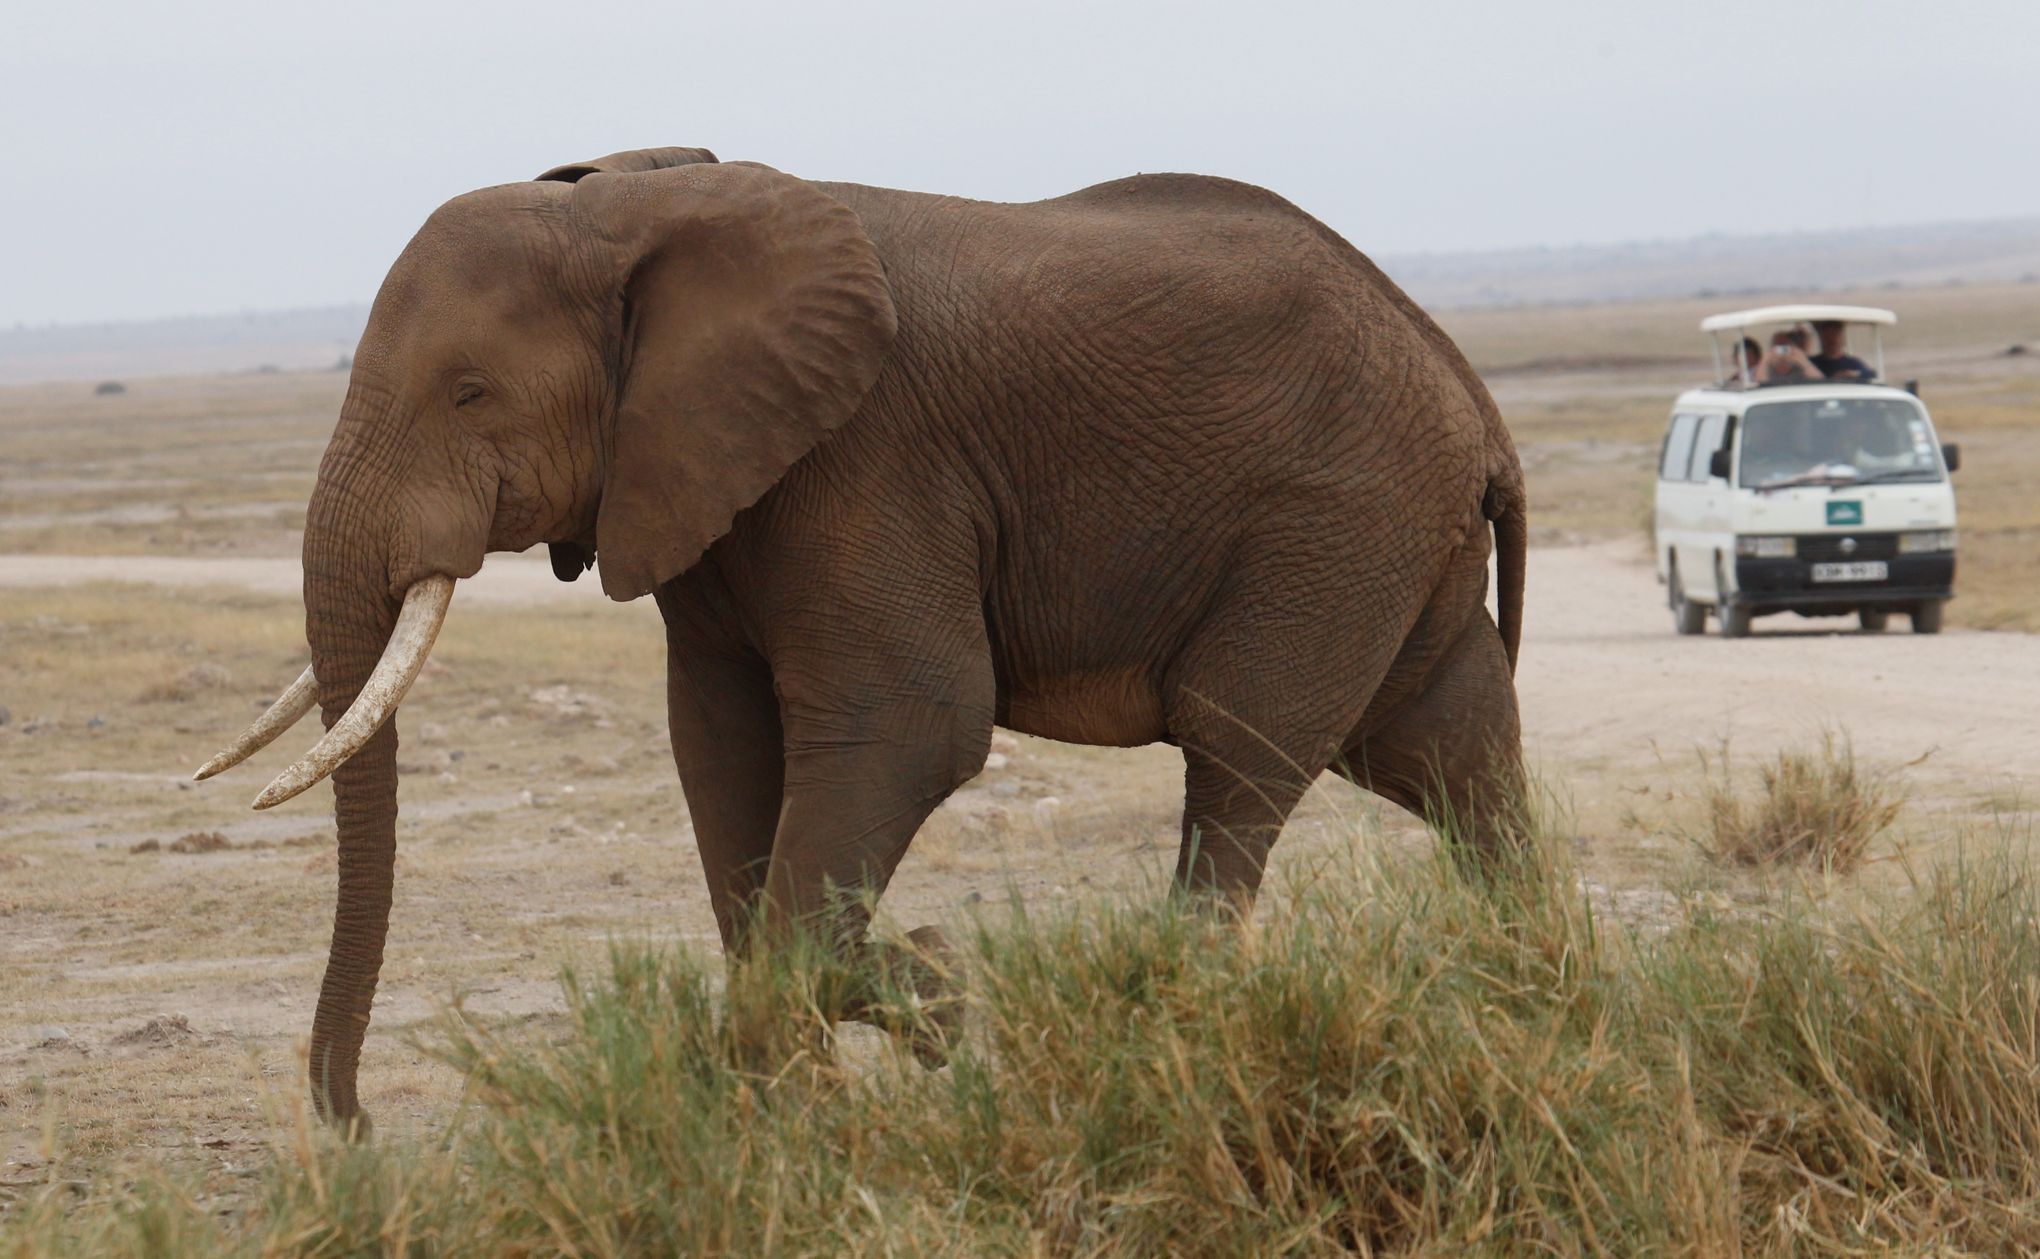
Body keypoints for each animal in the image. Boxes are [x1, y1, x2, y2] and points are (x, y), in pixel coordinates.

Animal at [194, 146, 1534, 1126]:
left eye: (468, 391)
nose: (355, 1127)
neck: (632, 203)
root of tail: (1468, 384)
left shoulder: (868, 456)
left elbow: (910, 728)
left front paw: (935, 995)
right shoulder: (703, 480)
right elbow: (722, 747)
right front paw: (823, 1093)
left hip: (1334, 520)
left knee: (1243, 750)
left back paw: (1187, 1023)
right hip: (1385, 541)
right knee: (1451, 752)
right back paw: (1531, 995)